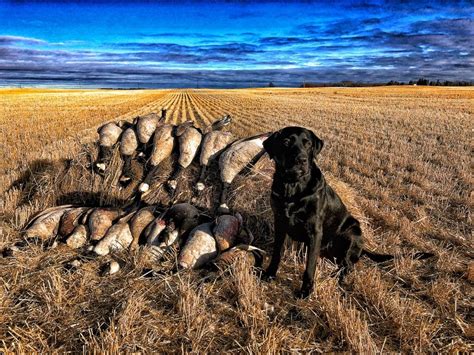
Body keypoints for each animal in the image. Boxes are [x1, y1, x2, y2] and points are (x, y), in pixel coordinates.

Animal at [262, 126, 374, 298]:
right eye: (286, 142)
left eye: (308, 144)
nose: (301, 160)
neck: (293, 187)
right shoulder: (279, 222)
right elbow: (277, 252)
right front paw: (270, 273)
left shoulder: (315, 232)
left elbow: (310, 266)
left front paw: (305, 291)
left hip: (353, 231)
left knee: (347, 265)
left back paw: (334, 277)